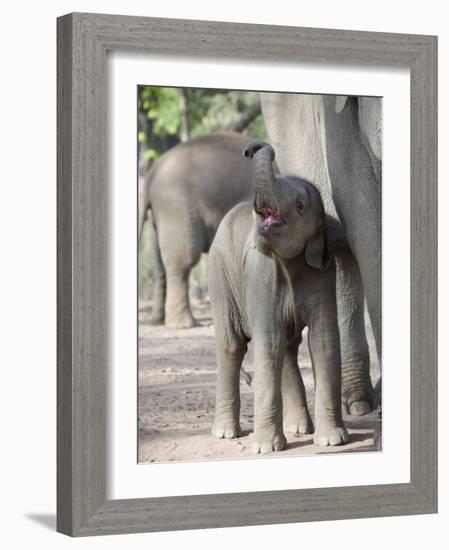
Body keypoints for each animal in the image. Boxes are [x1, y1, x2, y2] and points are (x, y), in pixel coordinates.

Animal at [138, 132, 254, 330]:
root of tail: (152, 173)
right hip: (176, 207)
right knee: (183, 261)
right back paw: (183, 324)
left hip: (159, 218)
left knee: (160, 263)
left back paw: (158, 321)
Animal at [208, 140, 348, 454]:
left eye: (300, 206)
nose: (252, 148)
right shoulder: (259, 275)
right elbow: (268, 339)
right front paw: (265, 449)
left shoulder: (323, 273)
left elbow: (323, 339)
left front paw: (332, 440)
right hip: (220, 276)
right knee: (232, 345)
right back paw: (225, 434)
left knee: (287, 346)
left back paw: (299, 429)